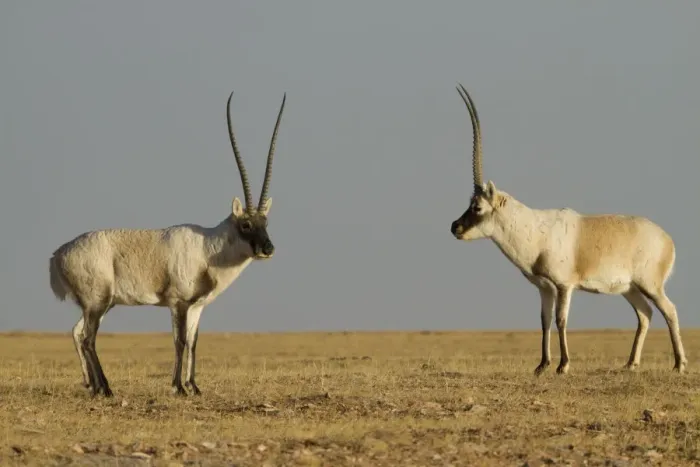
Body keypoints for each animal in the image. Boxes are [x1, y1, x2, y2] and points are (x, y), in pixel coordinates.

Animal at [49, 91, 287, 397]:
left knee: (78, 333)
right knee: (88, 337)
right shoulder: (179, 303)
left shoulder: (197, 307)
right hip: (97, 301)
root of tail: (58, 254)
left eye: (265, 222)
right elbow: (179, 341)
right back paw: (106, 388)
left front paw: (194, 386)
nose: (268, 249)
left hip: (99, 304)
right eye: (246, 225)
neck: (208, 248)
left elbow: (194, 342)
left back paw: (93, 386)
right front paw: (178, 387)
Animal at [449, 83, 686, 375]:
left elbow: (561, 320)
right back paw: (631, 363)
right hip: (630, 288)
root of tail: (667, 239)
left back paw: (679, 364)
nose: (455, 227)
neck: (535, 231)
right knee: (645, 314)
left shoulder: (564, 285)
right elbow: (544, 321)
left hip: (650, 284)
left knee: (669, 310)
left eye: (478, 207)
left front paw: (563, 365)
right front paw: (541, 365)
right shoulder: (544, 288)